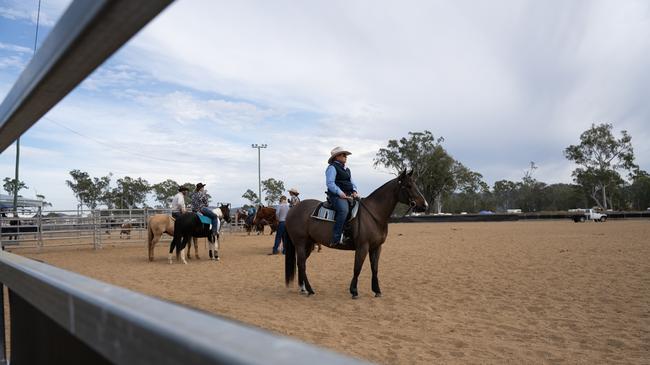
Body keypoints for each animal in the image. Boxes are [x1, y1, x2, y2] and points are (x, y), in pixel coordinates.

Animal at [282, 169, 426, 298]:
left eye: (415, 184)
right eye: (408, 186)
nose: (424, 205)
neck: (373, 214)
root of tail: (293, 210)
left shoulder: (376, 247)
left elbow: (375, 268)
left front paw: (377, 290)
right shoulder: (363, 247)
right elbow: (357, 268)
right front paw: (354, 291)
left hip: (308, 244)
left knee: (301, 264)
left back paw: (303, 289)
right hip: (300, 243)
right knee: (301, 264)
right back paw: (310, 290)